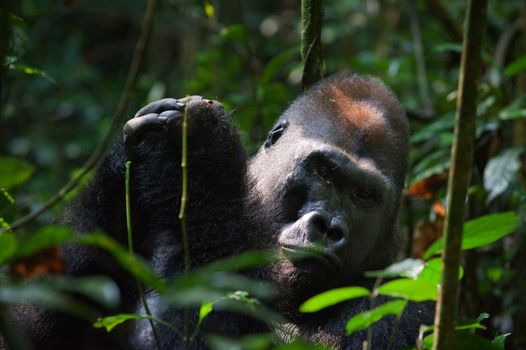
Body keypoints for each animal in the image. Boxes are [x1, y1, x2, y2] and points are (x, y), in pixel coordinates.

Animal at [7, 72, 438, 348]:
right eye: (324, 171)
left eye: (364, 195)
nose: (329, 227)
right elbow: (25, 330)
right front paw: (123, 168)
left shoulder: (411, 302)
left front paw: (201, 152)